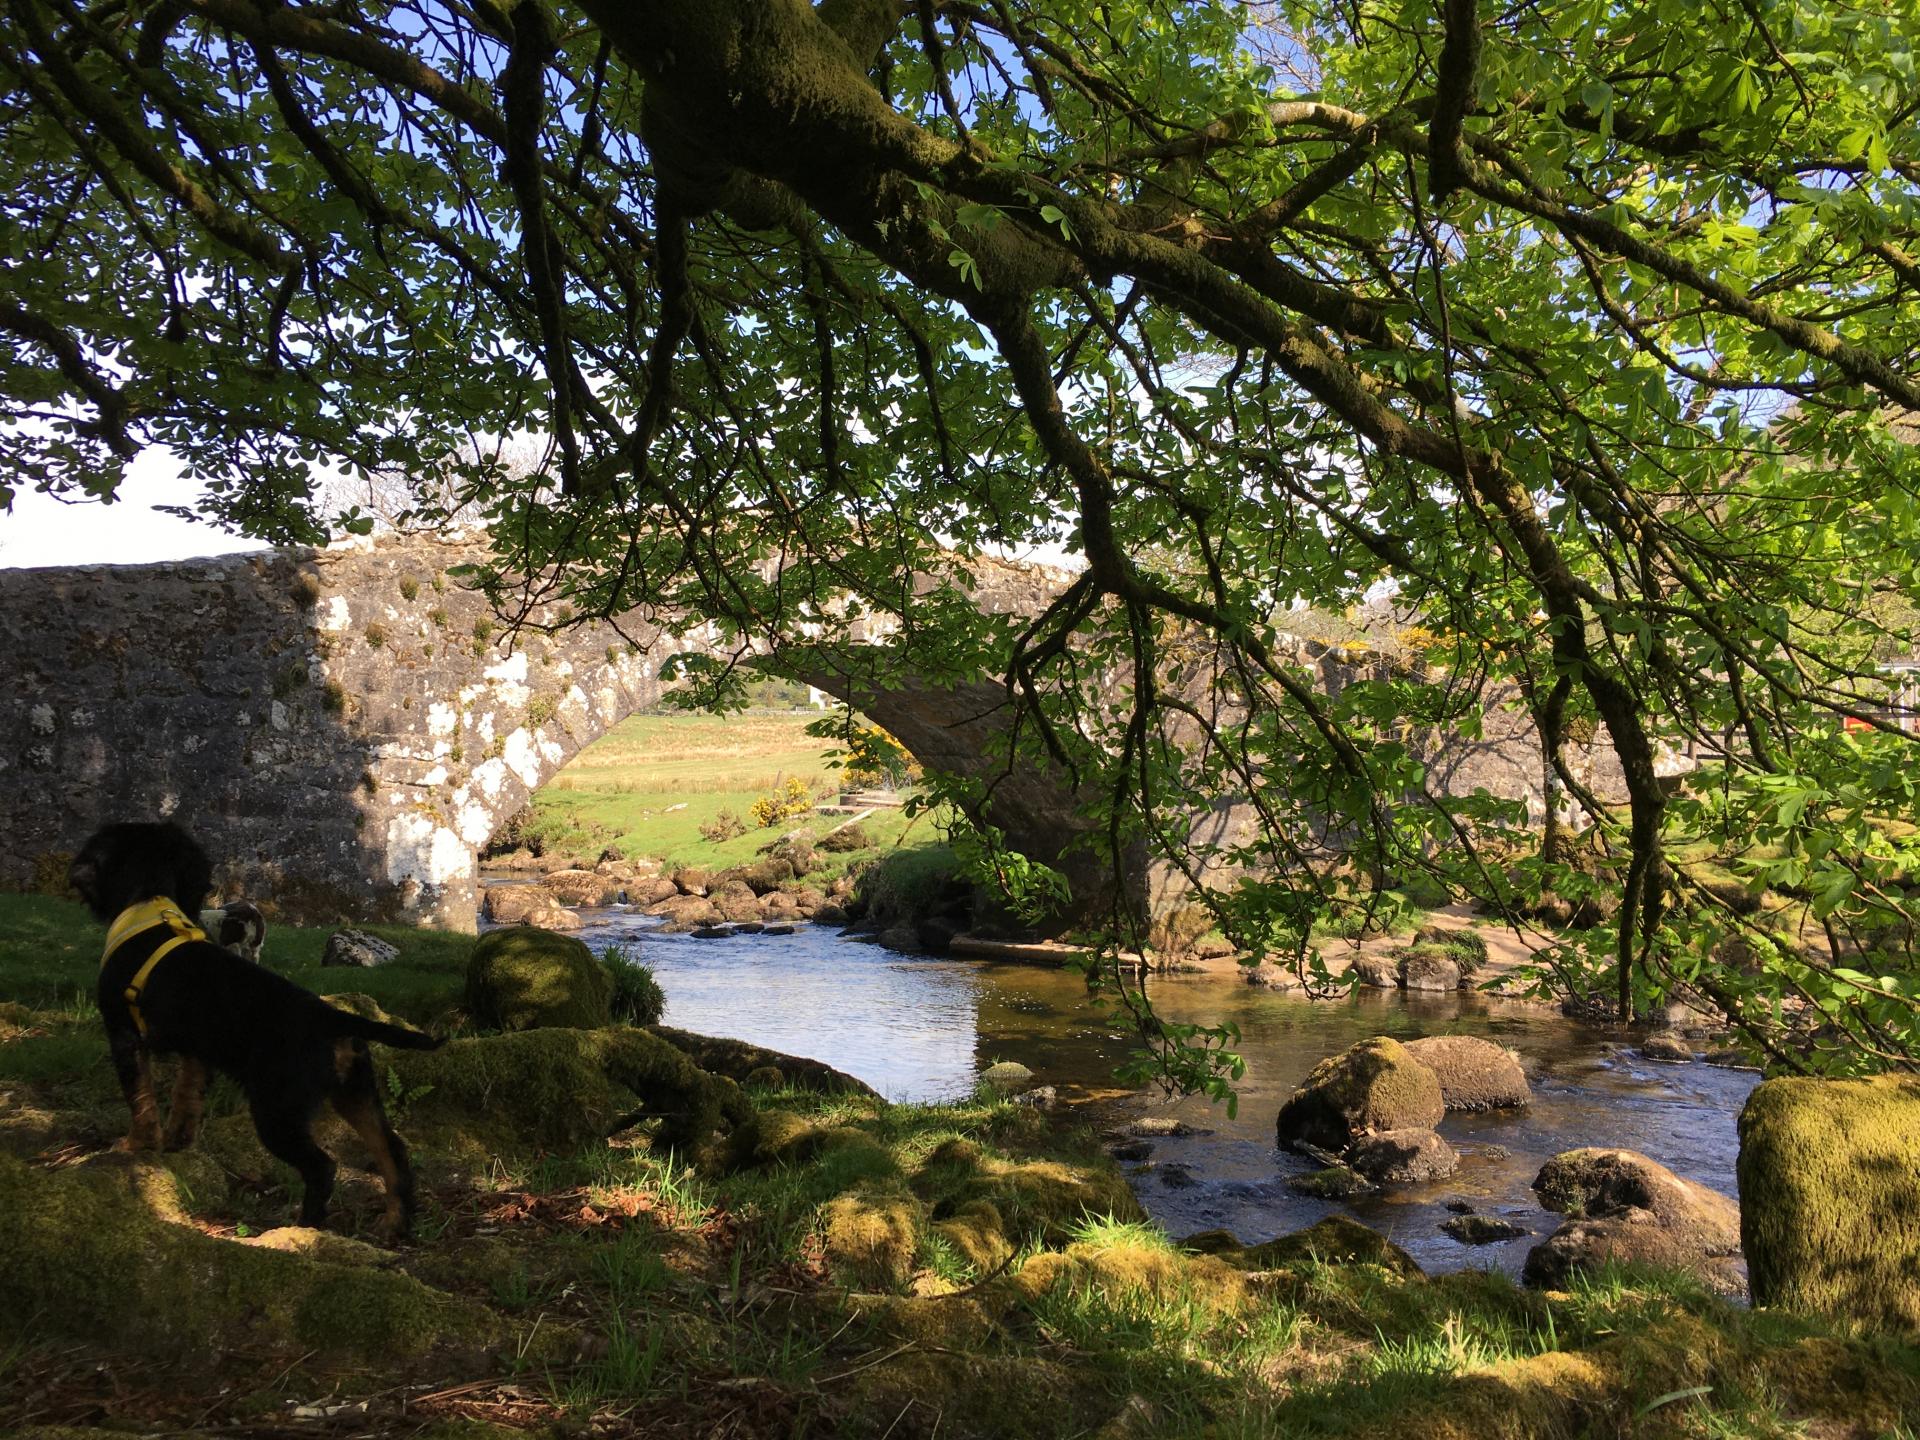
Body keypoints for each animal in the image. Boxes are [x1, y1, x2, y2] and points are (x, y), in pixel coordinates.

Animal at [69, 821, 442, 1236]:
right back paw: (395, 1222)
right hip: (355, 1094)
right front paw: (176, 1143)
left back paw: (305, 1225)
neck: (148, 902)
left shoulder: (123, 1033)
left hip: (277, 1108)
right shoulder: (197, 1051)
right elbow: (186, 1097)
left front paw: (135, 1145)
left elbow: (140, 1097)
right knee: (391, 1149)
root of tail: (334, 1017)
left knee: (322, 1166)